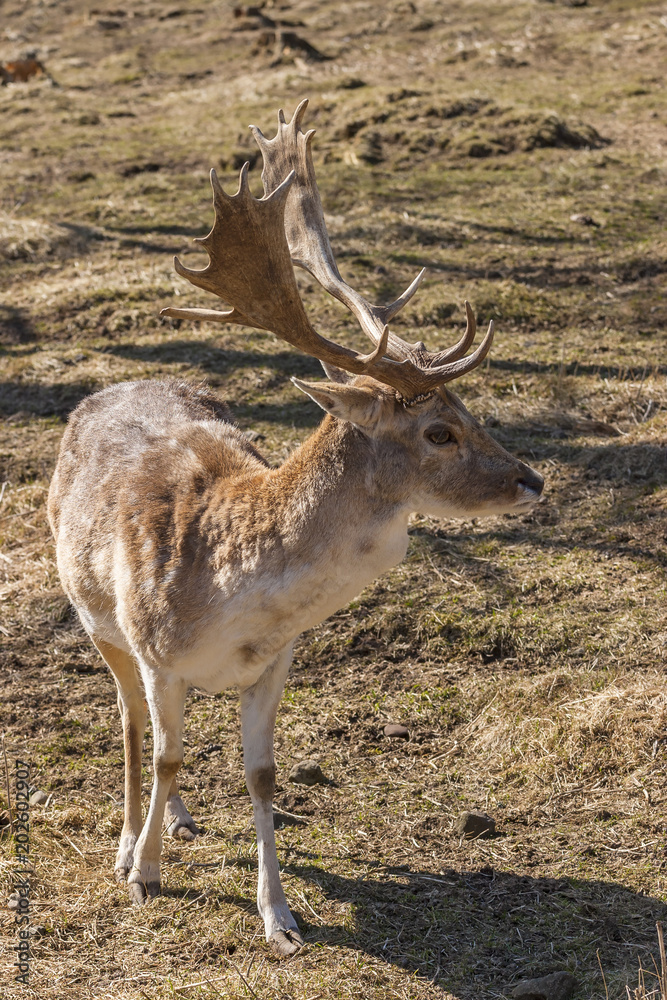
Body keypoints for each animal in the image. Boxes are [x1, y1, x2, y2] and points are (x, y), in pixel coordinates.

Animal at [49, 99, 544, 952]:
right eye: (437, 432)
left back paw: (177, 823)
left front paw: (279, 917)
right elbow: (165, 752)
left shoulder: (275, 663)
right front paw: (143, 875)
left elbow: (261, 775)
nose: (529, 479)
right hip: (95, 619)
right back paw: (130, 839)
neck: (234, 605)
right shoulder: (154, 649)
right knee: (131, 724)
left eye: (468, 411)